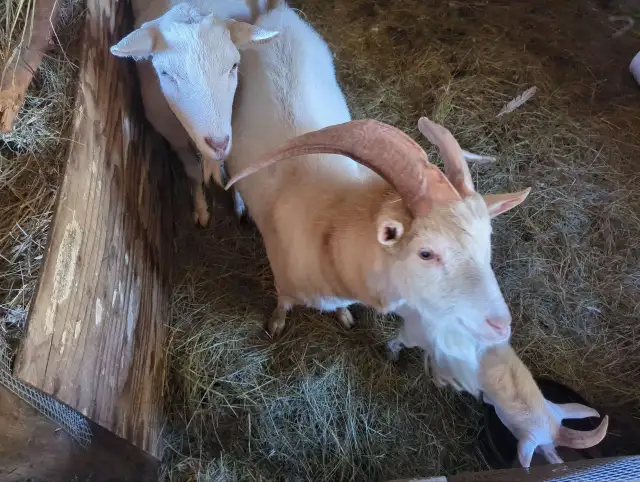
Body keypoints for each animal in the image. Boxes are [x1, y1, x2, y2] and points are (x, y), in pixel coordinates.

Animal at [110, 1, 278, 226]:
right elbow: (193, 173)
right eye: (165, 73)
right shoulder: (173, 136)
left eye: (234, 65)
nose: (218, 144)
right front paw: (201, 210)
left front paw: (241, 203)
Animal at [225, 3, 529, 351]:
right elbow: (282, 304)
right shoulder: (283, 282)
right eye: (426, 253)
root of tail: (280, 12)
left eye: (487, 241)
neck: (330, 223)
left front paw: (344, 317)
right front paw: (275, 324)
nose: (501, 327)